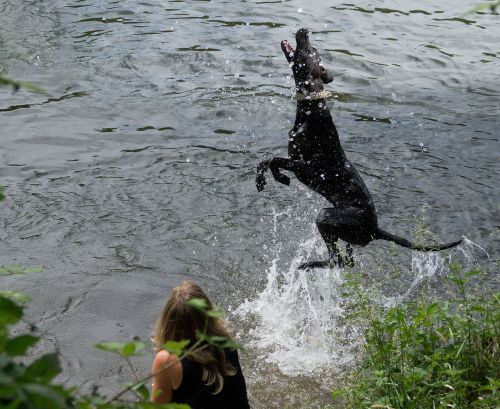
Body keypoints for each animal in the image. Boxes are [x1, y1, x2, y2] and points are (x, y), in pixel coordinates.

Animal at [256, 28, 462, 268]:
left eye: (310, 50)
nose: (304, 30)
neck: (311, 107)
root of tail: (376, 230)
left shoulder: (304, 166)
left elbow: (273, 159)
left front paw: (278, 178)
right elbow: (264, 160)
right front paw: (264, 181)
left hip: (325, 216)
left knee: (335, 260)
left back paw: (309, 264)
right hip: (343, 233)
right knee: (346, 261)